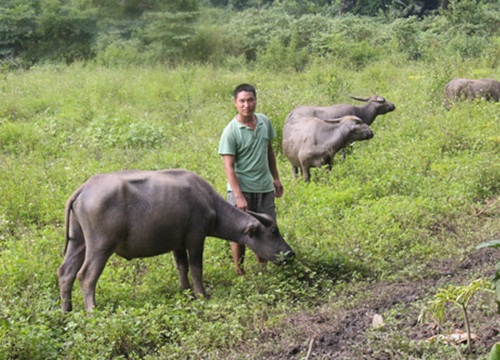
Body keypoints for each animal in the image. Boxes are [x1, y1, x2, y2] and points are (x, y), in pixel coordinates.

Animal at [57, 169, 294, 312]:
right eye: (274, 231)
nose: (291, 253)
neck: (210, 203)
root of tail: (84, 189)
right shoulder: (196, 239)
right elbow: (196, 268)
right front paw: (201, 294)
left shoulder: (177, 244)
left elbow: (182, 267)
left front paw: (186, 291)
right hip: (100, 247)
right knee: (86, 276)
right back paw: (92, 311)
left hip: (78, 242)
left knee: (65, 273)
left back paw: (66, 311)